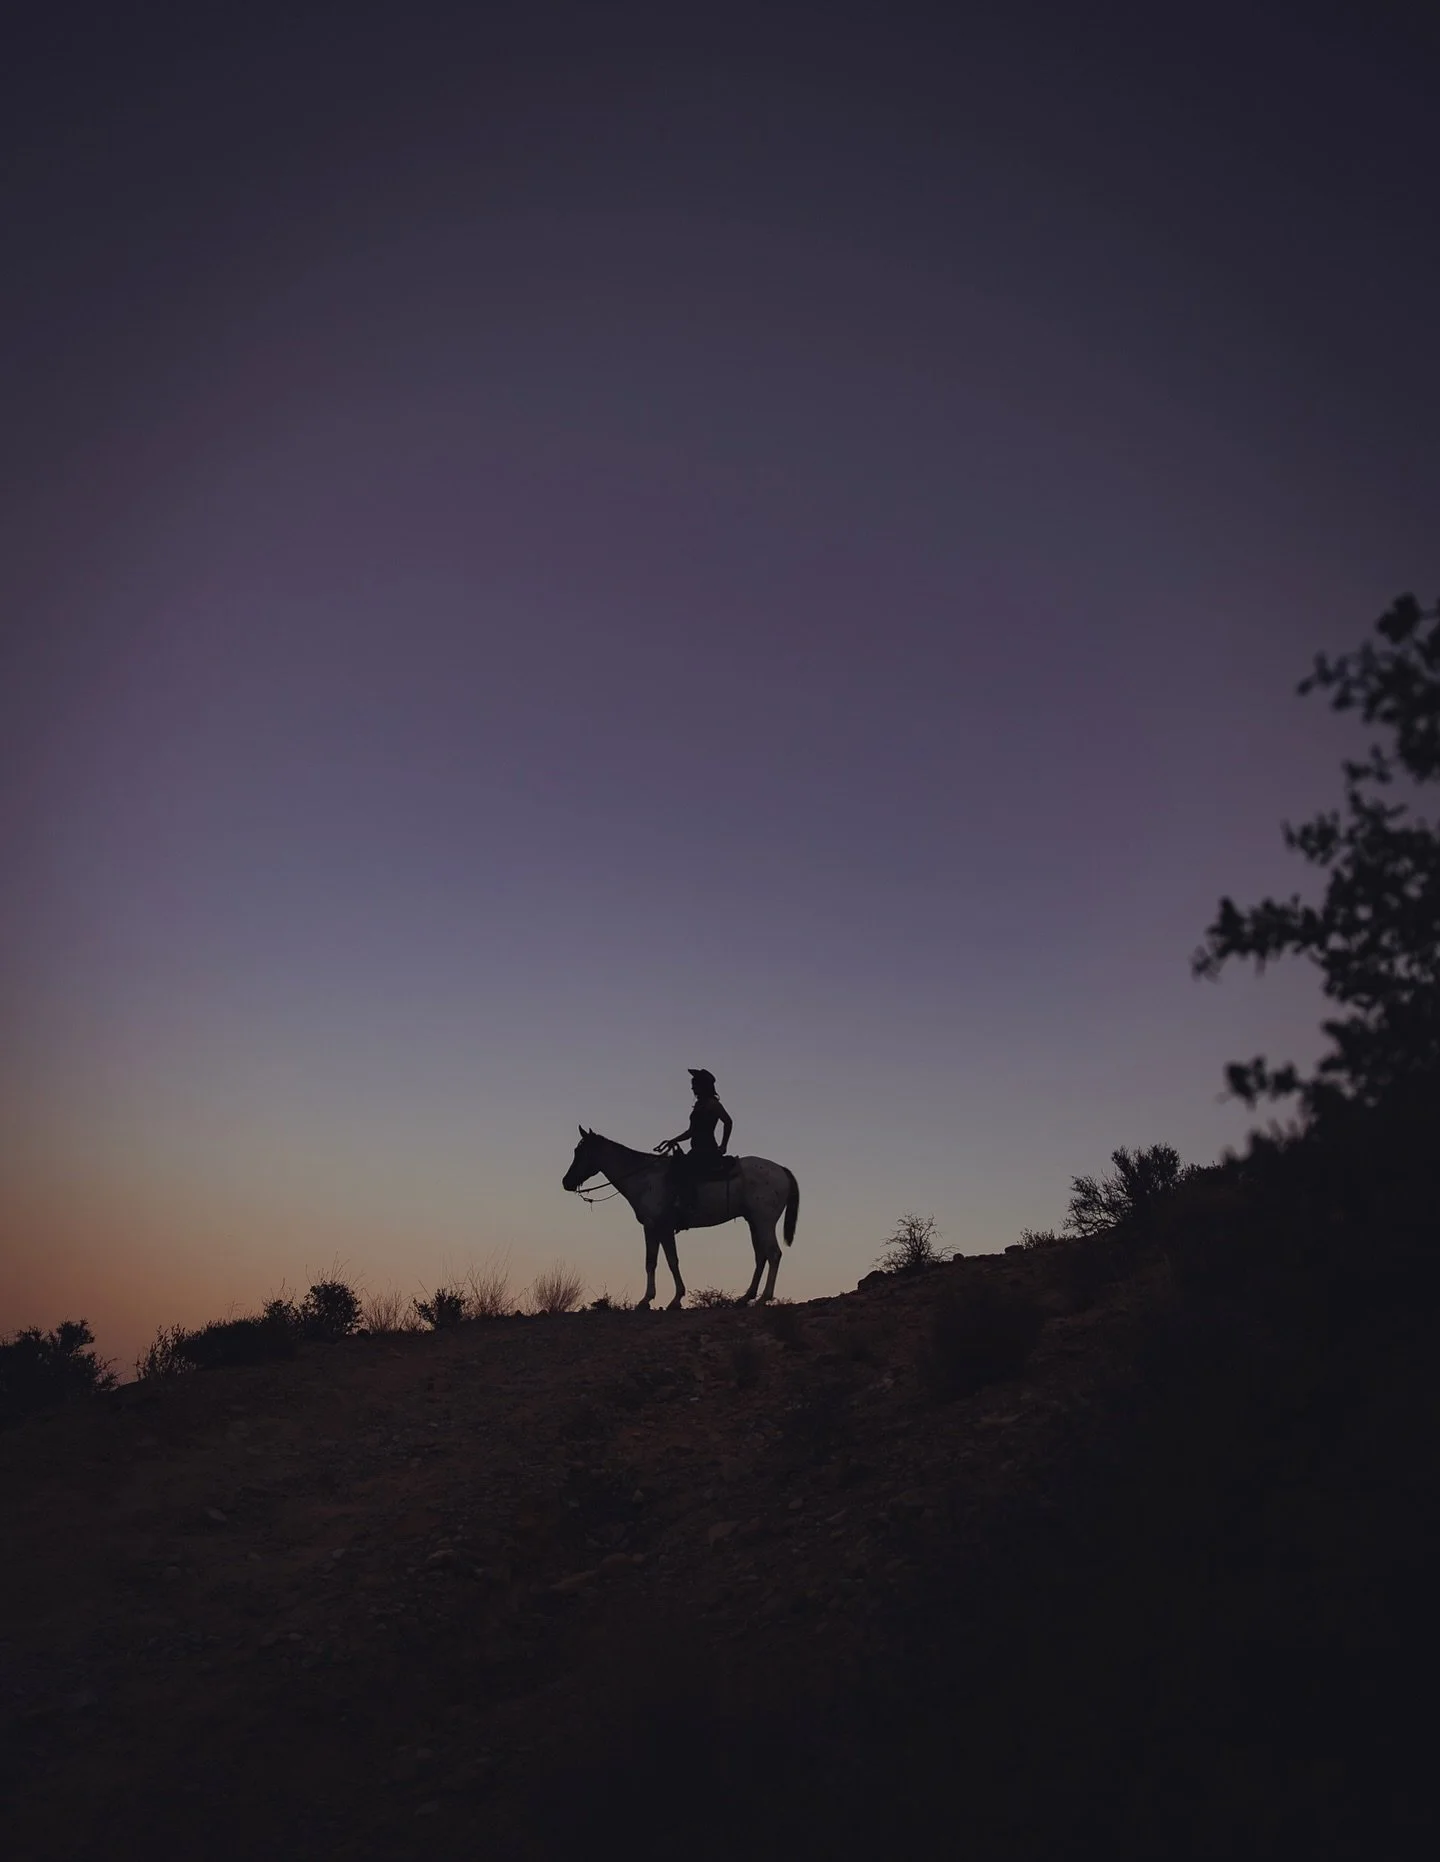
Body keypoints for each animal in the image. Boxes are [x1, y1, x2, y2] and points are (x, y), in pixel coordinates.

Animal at [562, 1127, 800, 1309]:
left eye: (579, 1152)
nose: (566, 1182)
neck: (644, 1177)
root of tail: (781, 1170)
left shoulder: (660, 1227)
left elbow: (669, 1261)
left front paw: (671, 1299)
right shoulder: (654, 1228)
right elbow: (653, 1262)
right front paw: (650, 1299)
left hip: (764, 1221)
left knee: (773, 1254)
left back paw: (763, 1298)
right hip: (754, 1222)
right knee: (761, 1256)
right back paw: (745, 1298)